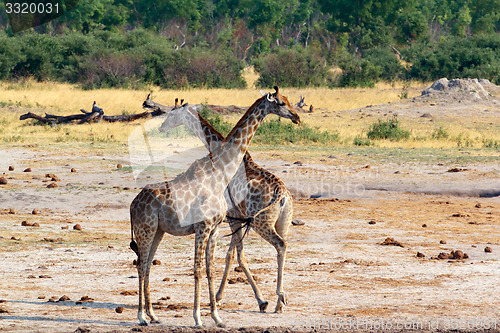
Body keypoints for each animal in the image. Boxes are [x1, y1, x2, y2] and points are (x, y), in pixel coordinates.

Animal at [130, 87, 300, 326]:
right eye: (282, 103)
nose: (297, 117)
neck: (219, 171)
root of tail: (133, 204)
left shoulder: (219, 225)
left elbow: (215, 266)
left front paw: (216, 314)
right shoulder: (211, 224)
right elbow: (205, 267)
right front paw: (201, 316)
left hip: (160, 231)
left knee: (145, 264)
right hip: (147, 229)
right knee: (141, 263)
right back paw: (142, 317)